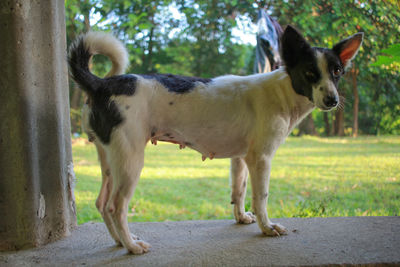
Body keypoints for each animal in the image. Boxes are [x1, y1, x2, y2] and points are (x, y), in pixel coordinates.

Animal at [68, 25, 362, 255]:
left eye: (337, 71)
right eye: (310, 72)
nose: (332, 100)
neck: (282, 92)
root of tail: (102, 85)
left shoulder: (241, 158)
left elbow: (238, 191)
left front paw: (242, 217)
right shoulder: (261, 158)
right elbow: (261, 197)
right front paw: (267, 227)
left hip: (109, 158)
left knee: (101, 203)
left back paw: (120, 241)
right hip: (130, 161)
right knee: (116, 206)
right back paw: (131, 246)